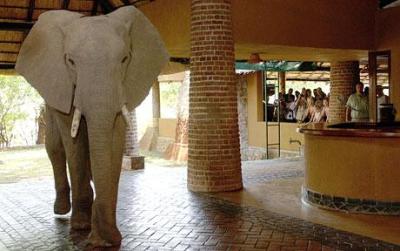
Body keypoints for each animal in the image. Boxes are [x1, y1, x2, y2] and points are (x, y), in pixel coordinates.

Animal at [15, 5, 169, 247]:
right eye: (70, 61)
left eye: (125, 59)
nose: (102, 240)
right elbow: (73, 140)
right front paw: (81, 226)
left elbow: (115, 134)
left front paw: (103, 235)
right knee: (54, 146)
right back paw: (62, 210)